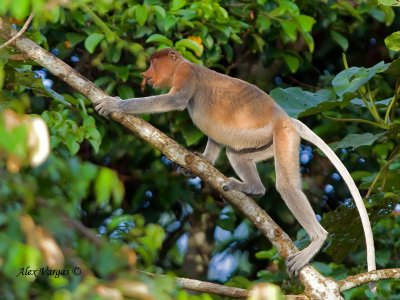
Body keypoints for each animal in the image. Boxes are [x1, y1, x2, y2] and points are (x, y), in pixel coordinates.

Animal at [95, 49, 376, 276]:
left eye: (154, 63)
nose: (146, 73)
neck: (182, 65)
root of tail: (287, 118)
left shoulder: (185, 75)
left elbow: (173, 101)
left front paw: (113, 104)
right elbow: (215, 140)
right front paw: (200, 160)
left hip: (283, 136)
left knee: (286, 186)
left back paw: (316, 240)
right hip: (262, 141)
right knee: (236, 153)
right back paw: (252, 188)